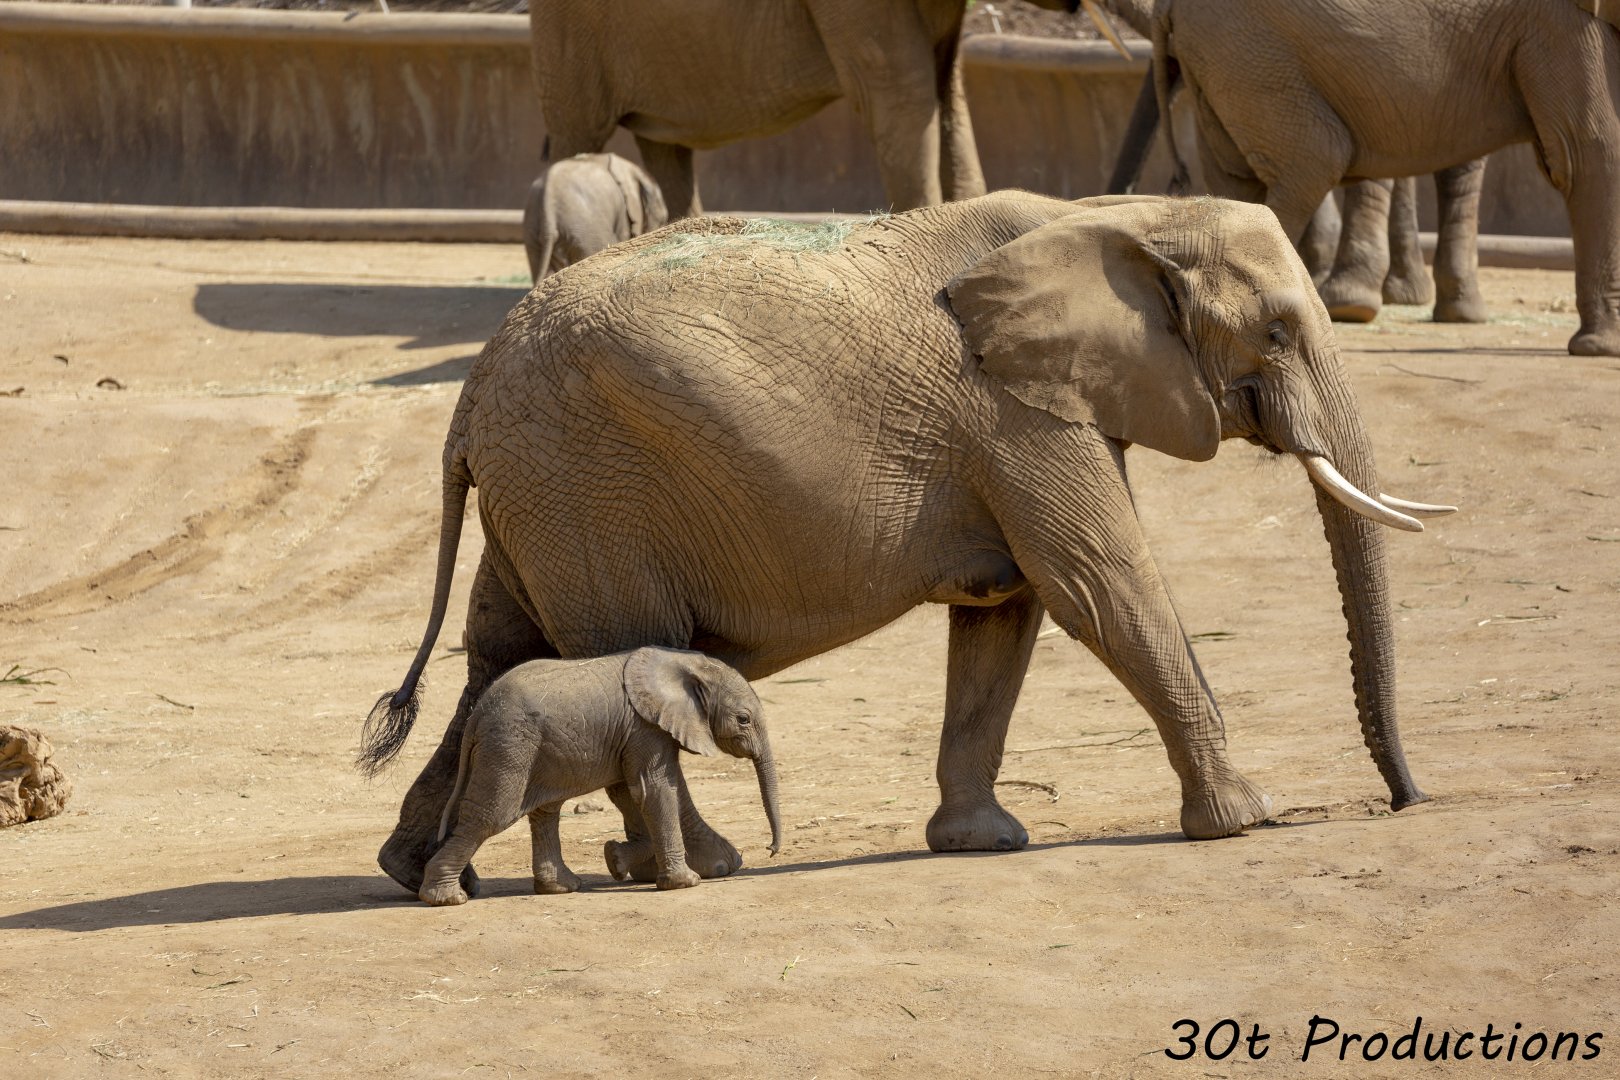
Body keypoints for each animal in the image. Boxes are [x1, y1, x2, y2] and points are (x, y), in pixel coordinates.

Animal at [416, 648, 782, 905]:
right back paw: (446, 898)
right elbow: (654, 790)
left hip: (535, 751)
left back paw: (561, 888)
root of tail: (476, 716)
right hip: (509, 745)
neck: (686, 663)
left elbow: (628, 791)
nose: (771, 850)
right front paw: (685, 882)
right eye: (744, 719)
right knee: (490, 816)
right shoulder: (644, 727)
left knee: (545, 811)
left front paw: (615, 860)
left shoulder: (629, 735)